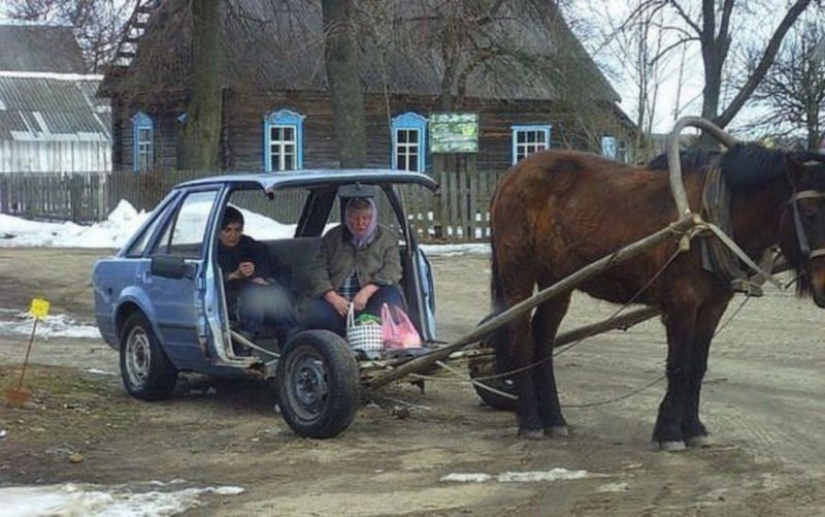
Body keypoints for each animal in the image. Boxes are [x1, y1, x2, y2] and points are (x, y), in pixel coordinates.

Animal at [486, 121, 824, 448]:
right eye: (809, 214)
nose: (823, 287)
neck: (710, 217)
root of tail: (511, 175)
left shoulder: (713, 306)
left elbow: (697, 365)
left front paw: (693, 428)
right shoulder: (681, 304)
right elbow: (680, 365)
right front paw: (670, 431)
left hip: (557, 282)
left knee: (543, 340)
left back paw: (554, 418)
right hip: (518, 273)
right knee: (522, 339)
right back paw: (531, 421)